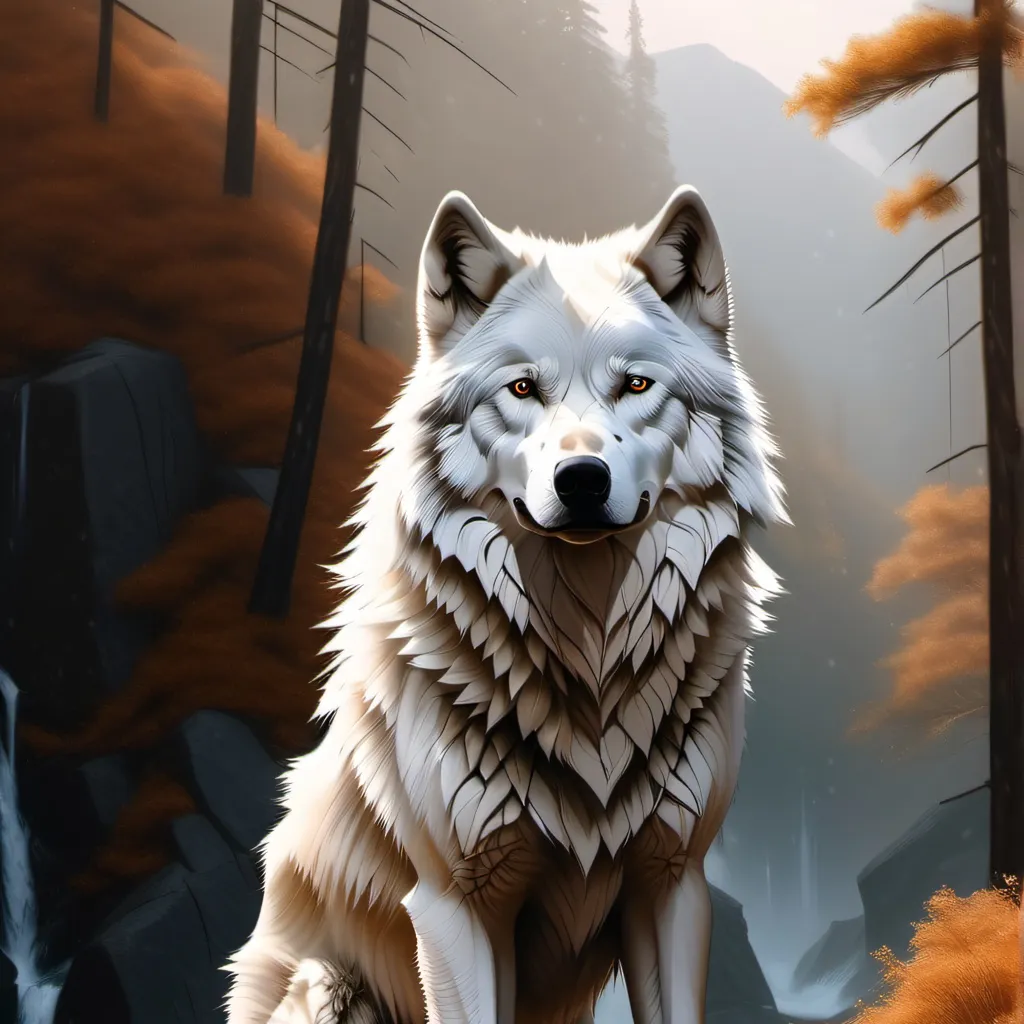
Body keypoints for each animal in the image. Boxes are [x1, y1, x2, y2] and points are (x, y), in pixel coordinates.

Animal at [223, 185, 787, 1024]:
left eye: (636, 386)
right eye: (523, 389)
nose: (581, 479)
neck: (588, 655)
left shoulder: (672, 885)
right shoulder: (456, 904)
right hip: (326, 986)